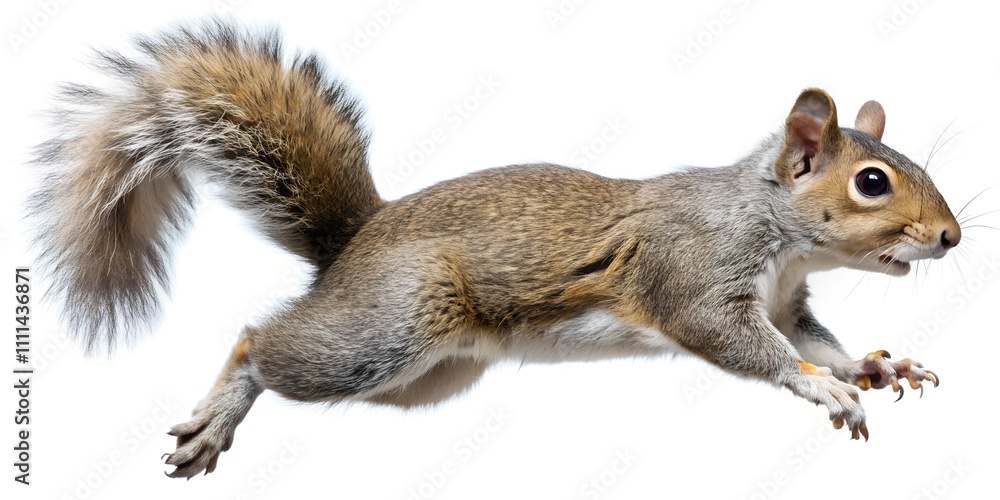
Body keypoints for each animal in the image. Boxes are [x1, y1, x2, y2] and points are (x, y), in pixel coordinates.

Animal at [31, 22, 961, 478]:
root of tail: (355, 243)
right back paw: (217, 416)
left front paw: (872, 366)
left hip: (426, 379)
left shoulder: (788, 303)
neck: (776, 233)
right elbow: (746, 345)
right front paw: (824, 391)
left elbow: (815, 340)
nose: (950, 237)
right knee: (262, 344)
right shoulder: (693, 274)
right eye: (872, 183)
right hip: (391, 326)